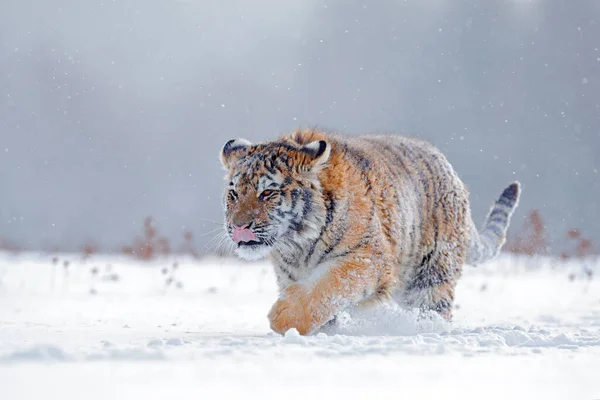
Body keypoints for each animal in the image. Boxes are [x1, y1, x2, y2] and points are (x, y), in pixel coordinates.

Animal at [220, 130, 520, 336]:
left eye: (267, 193)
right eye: (234, 194)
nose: (238, 226)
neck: (296, 244)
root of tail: (453, 175)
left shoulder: (369, 259)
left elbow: (329, 285)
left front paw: (283, 316)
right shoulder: (290, 274)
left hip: (432, 277)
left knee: (433, 310)